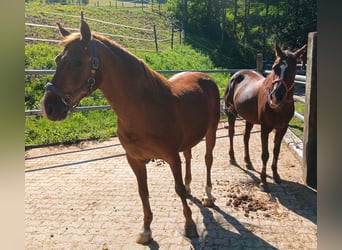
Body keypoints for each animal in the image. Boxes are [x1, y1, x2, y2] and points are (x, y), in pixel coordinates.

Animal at [40, 21, 220, 244]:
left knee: (208, 159)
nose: (48, 107)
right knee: (189, 157)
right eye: (58, 59)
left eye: (77, 62)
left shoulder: (171, 157)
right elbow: (143, 192)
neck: (144, 108)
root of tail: (205, 77)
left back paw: (208, 196)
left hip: (212, 130)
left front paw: (189, 225)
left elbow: (176, 188)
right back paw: (190, 189)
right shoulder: (134, 159)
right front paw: (146, 230)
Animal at [224, 44, 308, 191]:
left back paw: (248, 162)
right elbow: (265, 155)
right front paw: (263, 181)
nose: (276, 97)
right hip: (232, 114)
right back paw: (232, 158)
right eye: (275, 67)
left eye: (293, 69)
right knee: (231, 133)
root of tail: (235, 75)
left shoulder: (282, 129)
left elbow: (276, 151)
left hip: (249, 119)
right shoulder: (265, 128)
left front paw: (276, 175)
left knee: (246, 137)